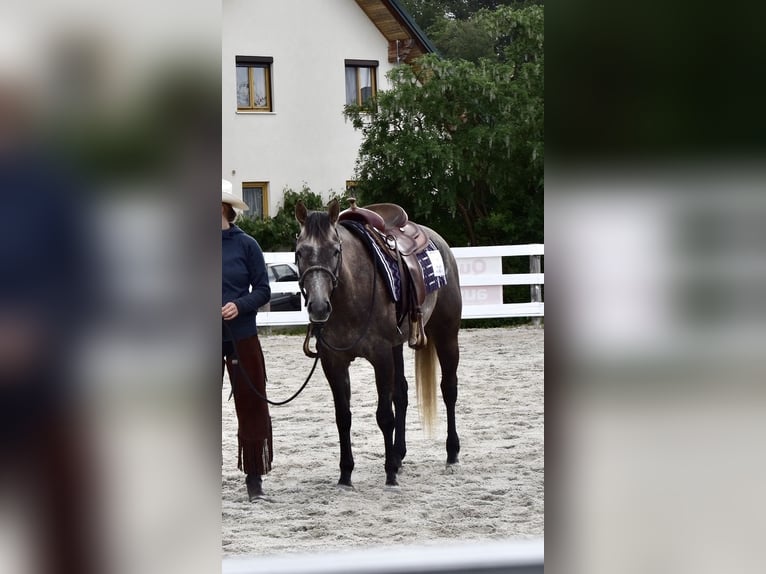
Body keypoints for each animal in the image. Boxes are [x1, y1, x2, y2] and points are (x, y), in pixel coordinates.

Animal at [294, 198, 462, 487]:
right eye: (300, 252)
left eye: (335, 251)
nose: (318, 307)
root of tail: (439, 241)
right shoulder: (333, 361)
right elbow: (343, 417)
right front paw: (346, 473)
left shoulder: (381, 356)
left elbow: (384, 416)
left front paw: (390, 473)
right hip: (398, 345)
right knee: (402, 394)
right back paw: (399, 454)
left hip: (446, 334)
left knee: (449, 389)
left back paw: (451, 453)